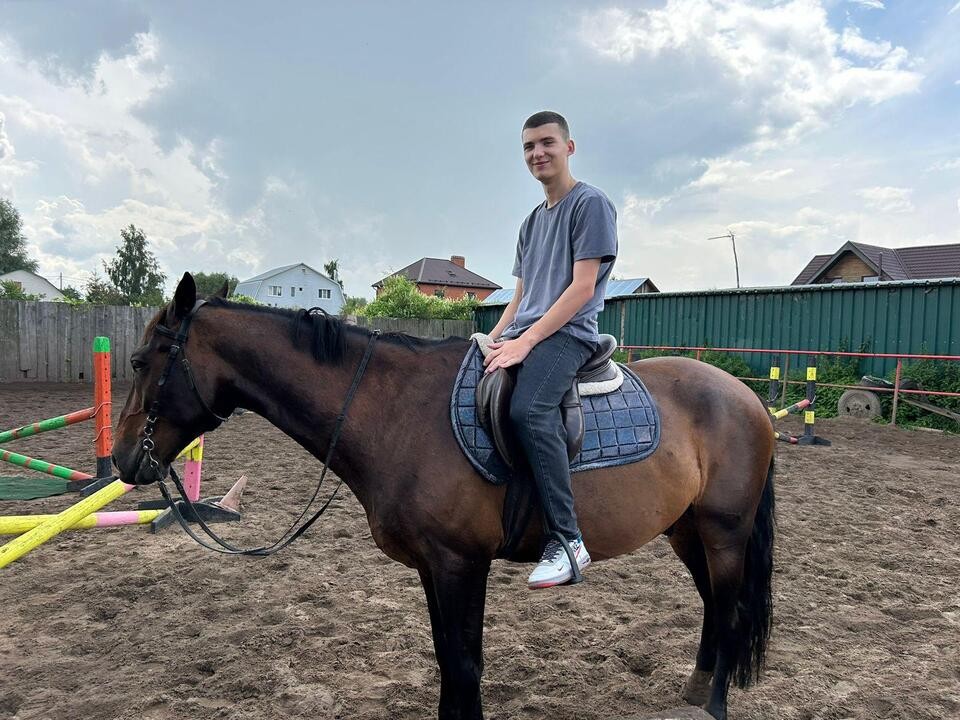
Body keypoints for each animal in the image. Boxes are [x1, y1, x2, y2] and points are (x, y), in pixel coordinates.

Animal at [112, 272, 776, 716]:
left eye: (142, 361)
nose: (121, 460)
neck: (395, 412)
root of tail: (745, 396)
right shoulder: (433, 566)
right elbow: (446, 661)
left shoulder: (461, 563)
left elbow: (463, 665)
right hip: (686, 530)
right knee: (713, 606)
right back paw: (695, 688)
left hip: (724, 532)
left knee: (732, 608)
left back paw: (714, 705)